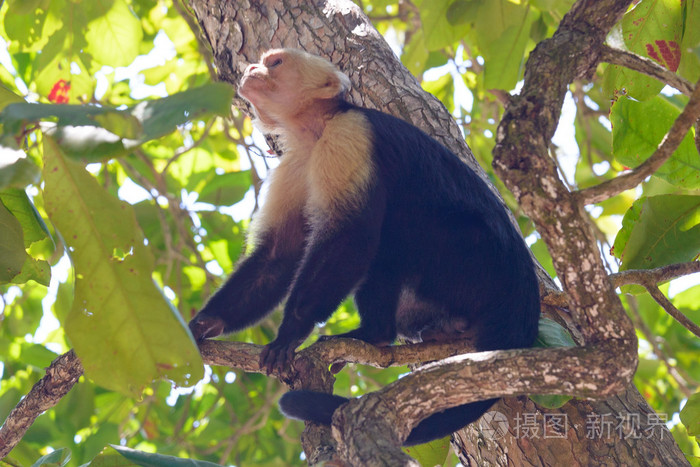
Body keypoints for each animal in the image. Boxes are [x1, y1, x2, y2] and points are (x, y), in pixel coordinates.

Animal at [189, 47, 540, 446]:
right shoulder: (294, 164)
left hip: (473, 261)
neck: (316, 130)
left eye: (275, 63)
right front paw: (205, 323)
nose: (250, 68)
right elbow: (278, 255)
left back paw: (374, 334)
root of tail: (523, 295)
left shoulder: (348, 136)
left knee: (388, 238)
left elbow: (349, 236)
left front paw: (290, 332)